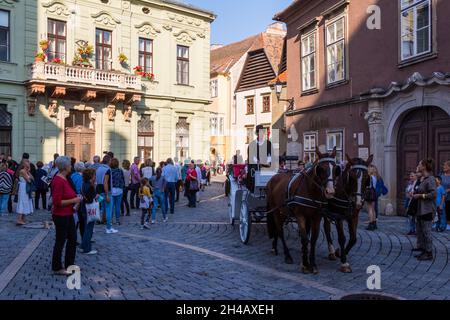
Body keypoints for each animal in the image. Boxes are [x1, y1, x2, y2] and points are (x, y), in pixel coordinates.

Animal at [266, 146, 340, 274]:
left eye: (335, 168)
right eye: (320, 168)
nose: (330, 191)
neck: (310, 190)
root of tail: (273, 178)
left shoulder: (316, 217)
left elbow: (313, 239)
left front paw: (313, 264)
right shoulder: (301, 216)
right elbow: (305, 239)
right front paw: (305, 264)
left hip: (283, 212)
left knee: (276, 229)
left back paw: (274, 247)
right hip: (275, 211)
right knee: (279, 230)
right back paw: (287, 255)